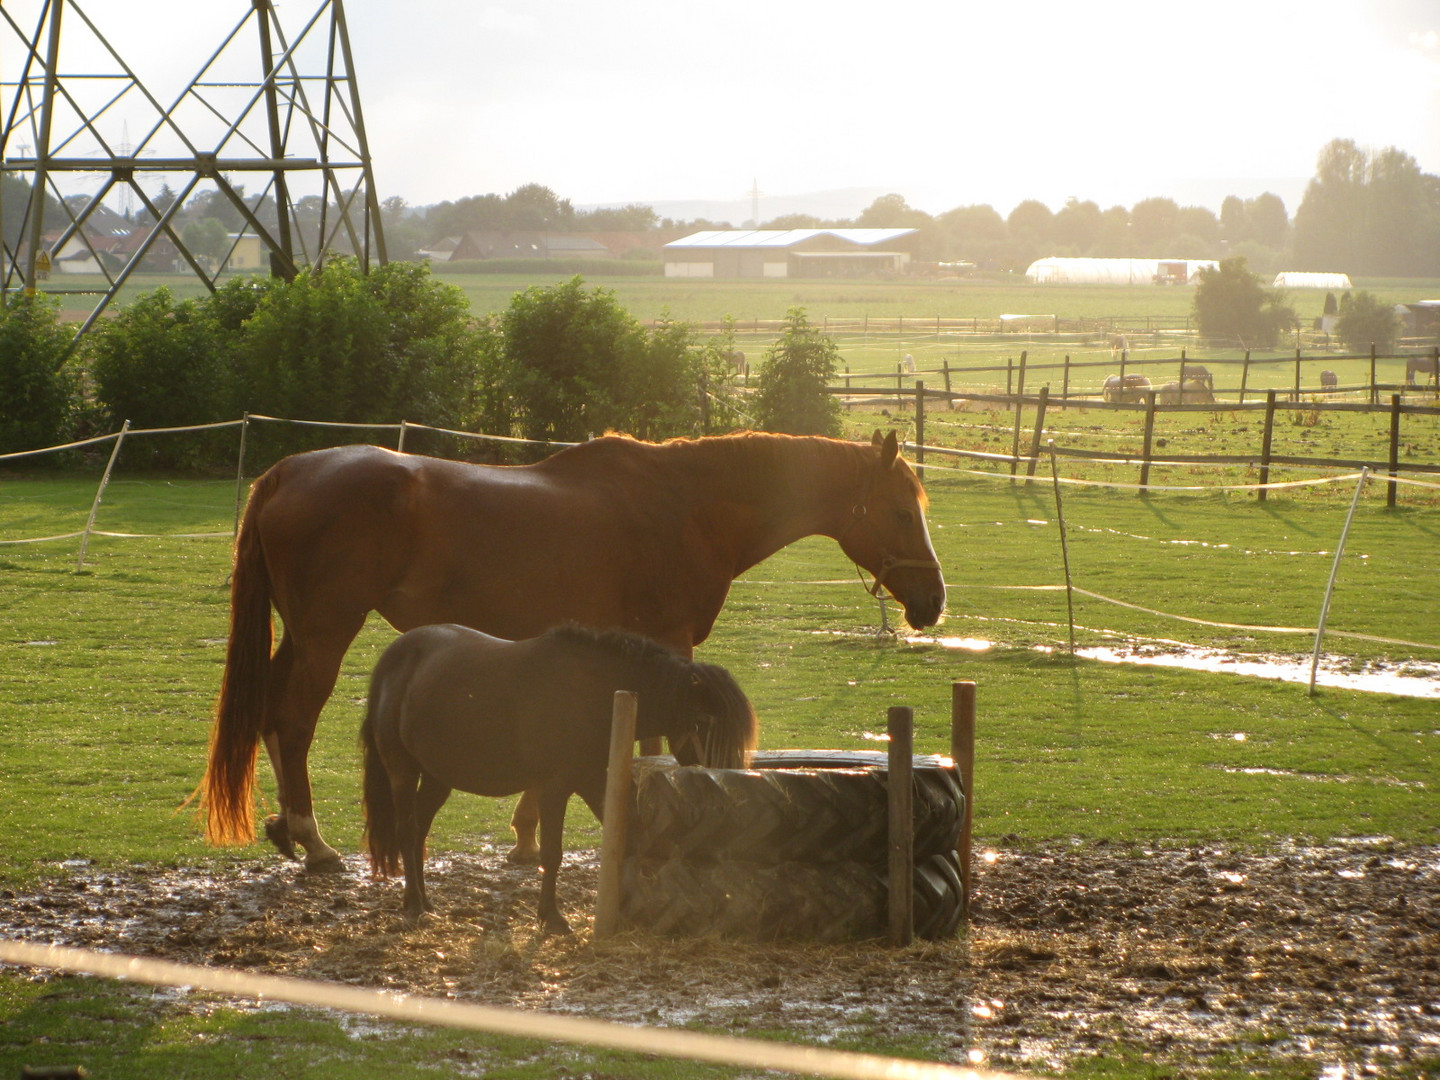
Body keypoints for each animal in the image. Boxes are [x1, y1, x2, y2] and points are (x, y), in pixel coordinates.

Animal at [200, 429, 944, 869]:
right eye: (901, 510)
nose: (933, 601)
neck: (687, 504)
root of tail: (287, 472)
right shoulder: (666, 642)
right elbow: (658, 746)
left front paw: (527, 836)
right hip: (326, 632)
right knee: (292, 721)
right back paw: (314, 840)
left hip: (303, 635)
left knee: (269, 714)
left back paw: (287, 831)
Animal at [360, 622, 760, 933]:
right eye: (703, 721)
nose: (728, 777)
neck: (594, 695)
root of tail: (393, 656)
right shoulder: (553, 790)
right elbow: (552, 854)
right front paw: (551, 917)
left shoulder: (595, 782)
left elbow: (628, 838)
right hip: (402, 769)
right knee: (406, 830)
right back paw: (414, 903)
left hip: (438, 777)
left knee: (418, 832)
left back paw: (422, 899)